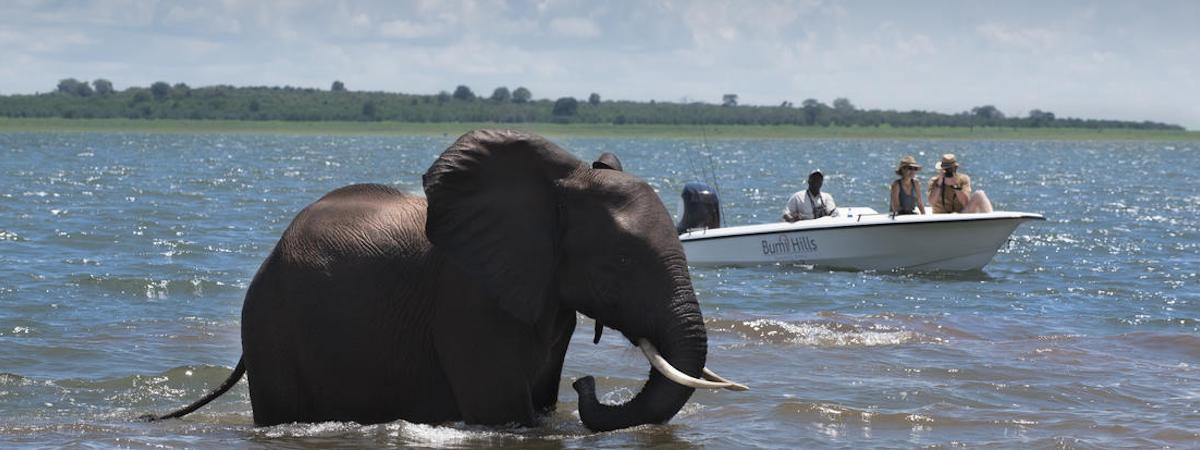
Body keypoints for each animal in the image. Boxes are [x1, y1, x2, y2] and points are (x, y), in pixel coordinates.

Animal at [147, 128, 748, 432]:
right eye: (620, 263)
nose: (586, 383)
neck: (558, 186)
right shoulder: (468, 301)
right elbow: (502, 412)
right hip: (272, 328)